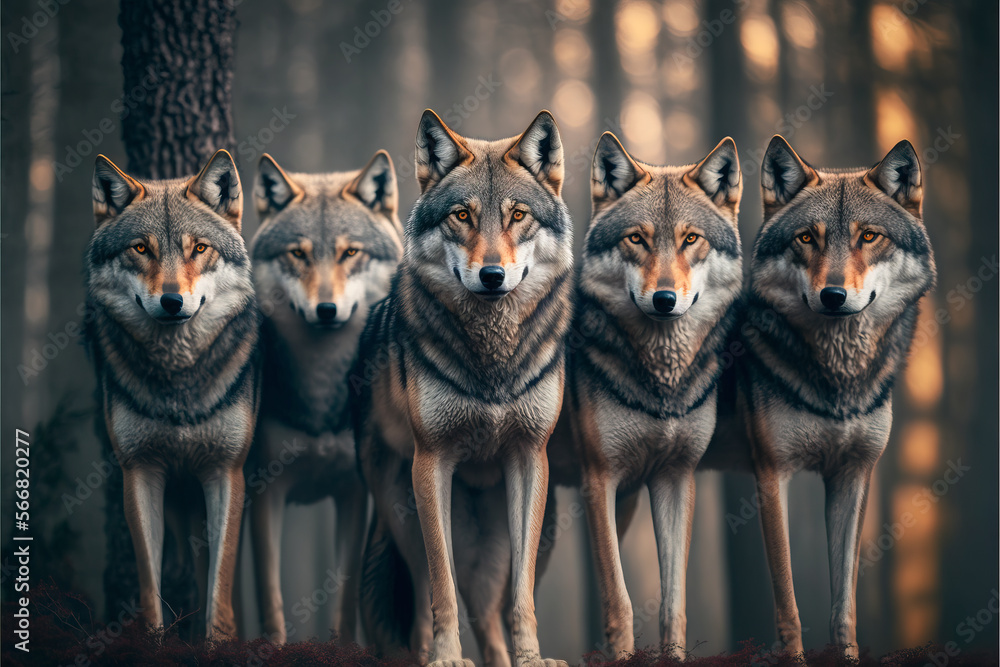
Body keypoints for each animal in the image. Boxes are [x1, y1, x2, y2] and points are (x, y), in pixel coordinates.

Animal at [85, 150, 260, 638]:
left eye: (198, 248)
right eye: (141, 248)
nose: (171, 302)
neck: (179, 379)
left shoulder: (226, 473)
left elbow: (220, 593)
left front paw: (218, 645)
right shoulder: (140, 472)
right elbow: (150, 587)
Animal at [248, 150, 403, 644]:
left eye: (349, 252)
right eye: (297, 253)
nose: (326, 309)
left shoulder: (354, 491)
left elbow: (344, 599)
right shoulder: (265, 493)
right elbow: (271, 601)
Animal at [354, 109, 573, 667]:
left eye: (518, 216)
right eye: (461, 216)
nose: (492, 274)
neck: (492, 359)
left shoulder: (529, 457)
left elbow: (521, 594)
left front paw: (532, 658)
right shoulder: (431, 463)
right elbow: (441, 585)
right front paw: (447, 657)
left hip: (509, 541)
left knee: (490, 615)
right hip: (399, 513)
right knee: (422, 597)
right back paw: (422, 654)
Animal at [544, 133, 743, 659]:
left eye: (690, 239)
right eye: (637, 238)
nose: (664, 299)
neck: (661, 383)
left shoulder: (675, 479)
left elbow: (673, 605)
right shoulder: (599, 481)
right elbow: (621, 601)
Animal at [701, 136, 936, 658]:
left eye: (868, 237)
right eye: (807, 238)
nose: (833, 295)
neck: (838, 380)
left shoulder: (852, 476)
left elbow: (843, 608)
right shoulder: (772, 477)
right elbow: (789, 607)